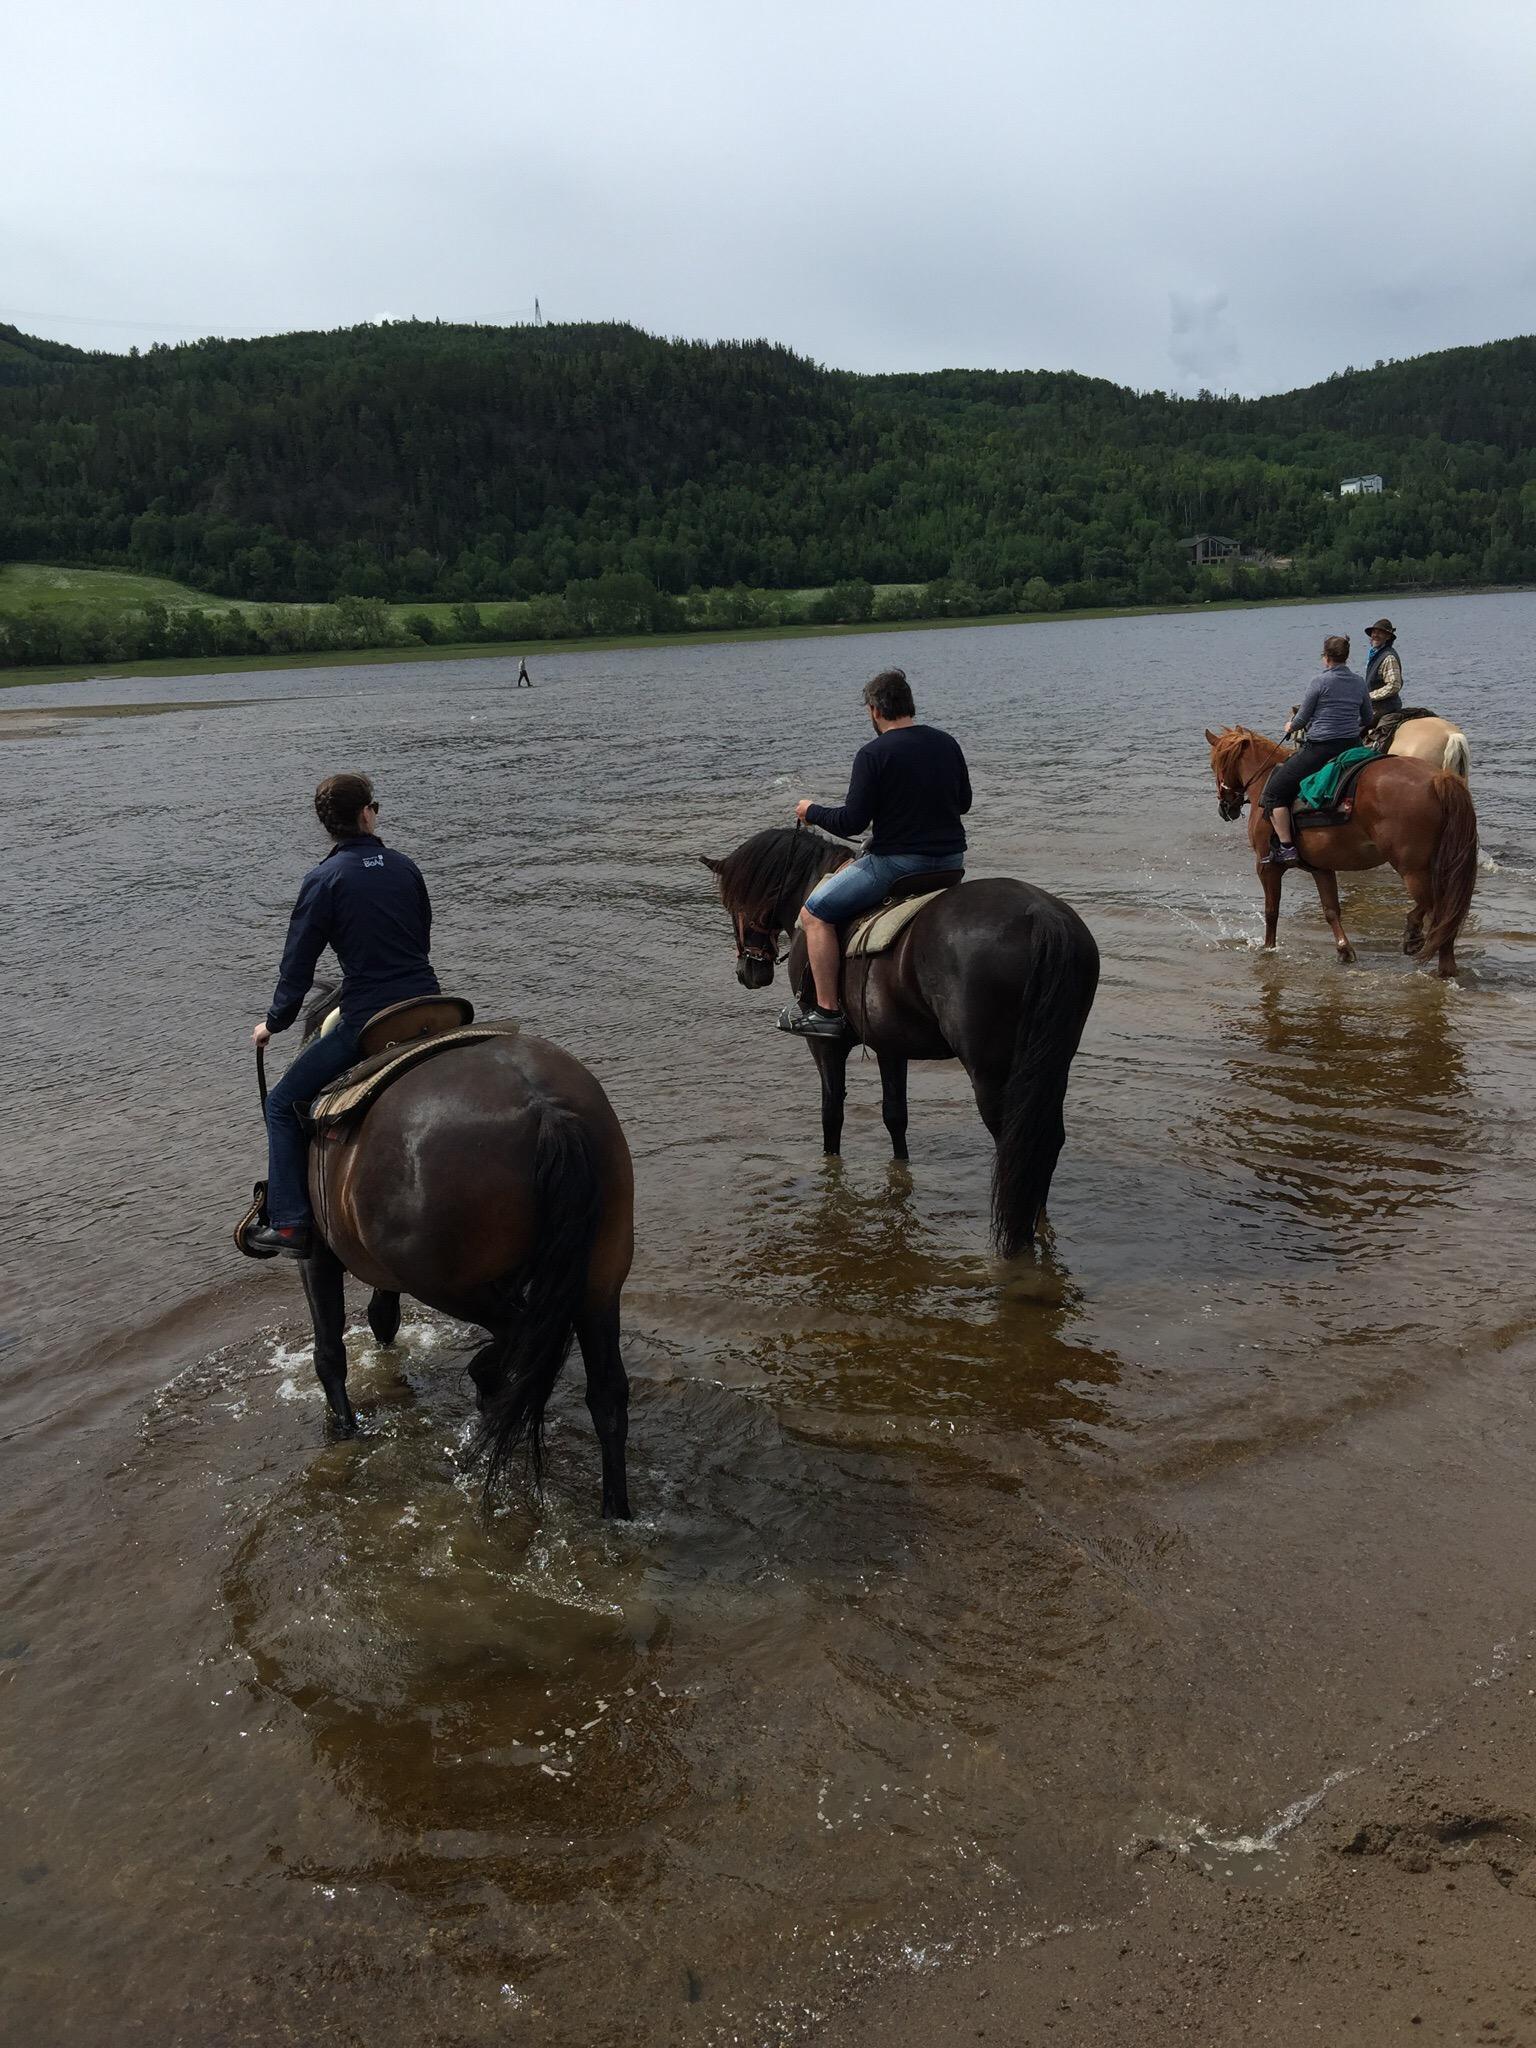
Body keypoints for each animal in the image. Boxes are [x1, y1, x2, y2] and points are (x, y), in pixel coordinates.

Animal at [296, 991, 634, 1523]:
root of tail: (546, 1110)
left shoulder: (316, 1254)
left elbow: (330, 1349)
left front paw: (344, 1429)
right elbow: (381, 1316)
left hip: (447, 1286)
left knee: (520, 1339)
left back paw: (484, 1382)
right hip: (601, 1277)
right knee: (606, 1395)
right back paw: (614, 1511)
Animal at [704, 823, 1097, 1253]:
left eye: (735, 902)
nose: (748, 972)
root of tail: (1039, 914)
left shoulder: (825, 1045)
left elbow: (831, 1112)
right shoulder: (889, 1044)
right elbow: (895, 1115)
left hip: (992, 1072)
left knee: (1017, 1143)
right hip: (1049, 1062)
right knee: (1044, 1138)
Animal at [1212, 720, 1482, 974]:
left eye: (1215, 764)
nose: (1226, 808)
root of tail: (1438, 778)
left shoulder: (1266, 866)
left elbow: (1271, 910)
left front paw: (1268, 948)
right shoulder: (1321, 868)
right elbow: (1331, 910)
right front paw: (1344, 950)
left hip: (1413, 869)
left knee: (1435, 910)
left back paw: (1414, 935)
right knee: (1446, 914)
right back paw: (1445, 965)